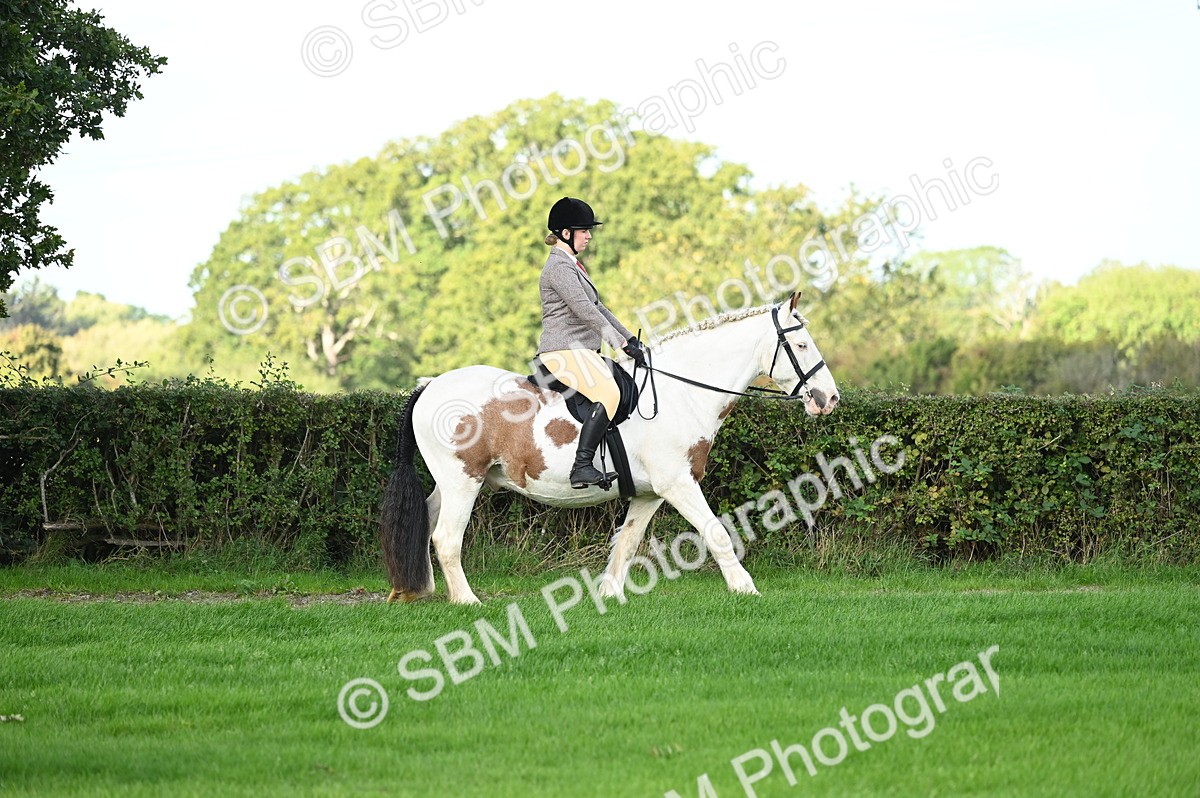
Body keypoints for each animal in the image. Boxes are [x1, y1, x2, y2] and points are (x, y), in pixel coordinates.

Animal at [380, 292, 839, 604]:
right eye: (801, 345)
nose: (829, 398)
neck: (680, 393)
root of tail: (430, 384)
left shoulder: (651, 493)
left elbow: (628, 542)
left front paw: (610, 595)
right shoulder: (679, 484)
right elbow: (716, 532)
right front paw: (745, 588)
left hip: (452, 482)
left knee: (428, 519)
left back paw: (417, 590)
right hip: (464, 480)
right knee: (446, 537)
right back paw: (466, 600)